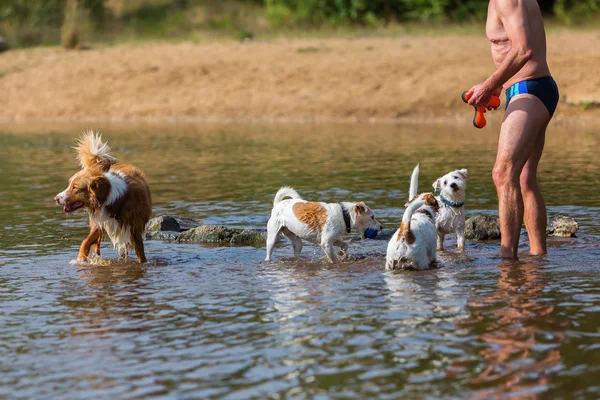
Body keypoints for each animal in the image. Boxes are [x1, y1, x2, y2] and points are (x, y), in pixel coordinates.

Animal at [54, 130, 152, 262]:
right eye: (70, 185)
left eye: (74, 187)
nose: (56, 198)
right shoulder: (100, 223)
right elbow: (85, 242)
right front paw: (81, 259)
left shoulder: (134, 231)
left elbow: (141, 256)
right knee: (96, 244)